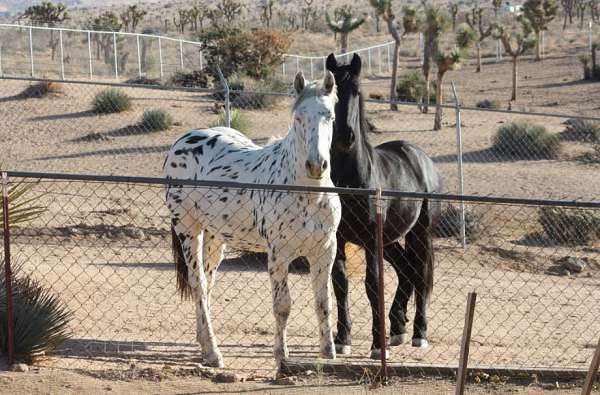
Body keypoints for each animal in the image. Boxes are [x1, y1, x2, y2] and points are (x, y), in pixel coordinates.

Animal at [164, 70, 342, 368]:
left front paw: (329, 354)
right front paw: (281, 355)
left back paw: (203, 344)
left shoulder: (324, 251)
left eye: (329, 116)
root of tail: (181, 142)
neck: (308, 194)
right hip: (188, 229)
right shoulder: (279, 254)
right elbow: (282, 306)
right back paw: (213, 353)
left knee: (208, 285)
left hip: (215, 237)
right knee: (198, 283)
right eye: (298, 118)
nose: (316, 165)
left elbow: (323, 304)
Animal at [328, 52, 440, 358]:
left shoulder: (369, 240)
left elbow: (372, 285)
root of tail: (418, 156)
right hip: (389, 239)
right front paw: (342, 339)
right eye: (331, 90)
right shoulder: (339, 238)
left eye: (357, 91)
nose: (345, 137)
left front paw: (377, 346)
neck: (351, 178)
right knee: (406, 270)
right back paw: (398, 327)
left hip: (419, 232)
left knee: (419, 273)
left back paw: (419, 333)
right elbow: (340, 284)